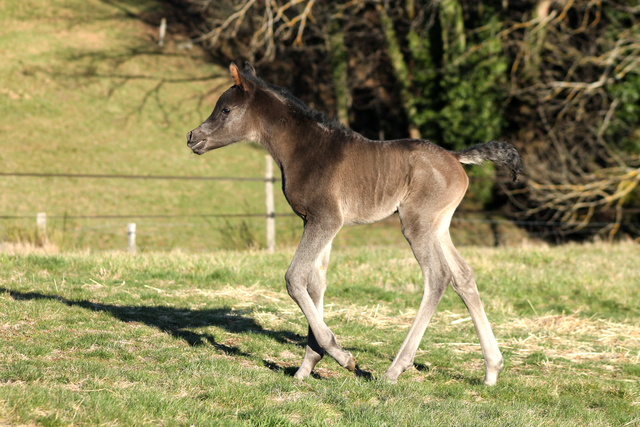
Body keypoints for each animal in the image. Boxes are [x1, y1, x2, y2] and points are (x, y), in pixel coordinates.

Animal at [185, 63, 520, 388]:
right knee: (463, 276)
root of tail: (455, 156)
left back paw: (395, 370)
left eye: (225, 110)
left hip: (416, 224)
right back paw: (492, 370)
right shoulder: (315, 222)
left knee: (438, 277)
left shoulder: (326, 219)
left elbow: (294, 278)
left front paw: (342, 356)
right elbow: (315, 283)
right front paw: (307, 366)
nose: (191, 137)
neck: (304, 149)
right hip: (439, 226)